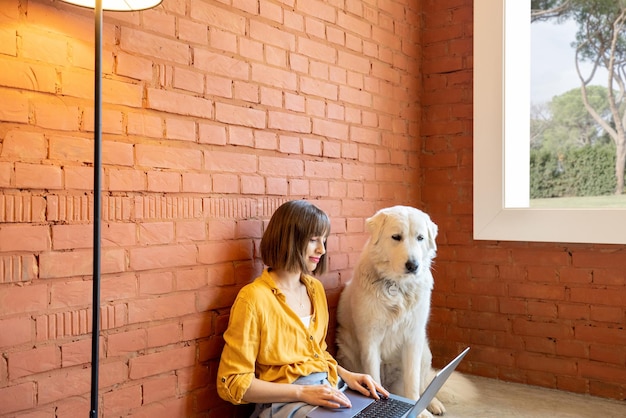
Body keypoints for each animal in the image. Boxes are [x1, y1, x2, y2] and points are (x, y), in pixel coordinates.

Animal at [334, 207, 460, 418]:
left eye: (420, 237)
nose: (413, 265)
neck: (398, 287)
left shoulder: (413, 338)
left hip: (424, 351)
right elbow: (372, 377)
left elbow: (412, 381)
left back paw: (433, 404)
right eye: (396, 237)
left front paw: (420, 410)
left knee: (424, 383)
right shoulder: (370, 339)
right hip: (347, 350)